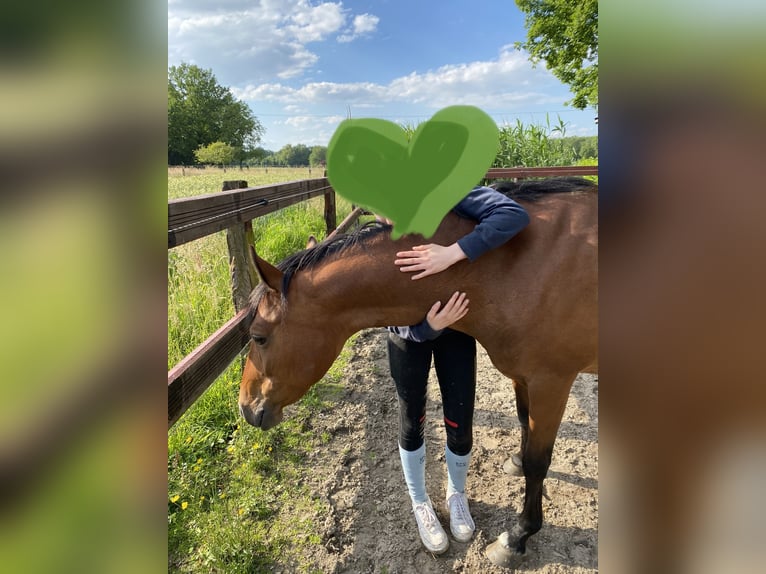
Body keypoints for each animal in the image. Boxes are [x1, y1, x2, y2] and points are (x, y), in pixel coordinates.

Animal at [240, 178, 600, 568]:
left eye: (258, 336)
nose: (246, 406)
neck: (508, 269)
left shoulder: (552, 382)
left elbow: (538, 461)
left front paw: (517, 537)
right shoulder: (524, 376)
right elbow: (523, 425)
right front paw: (516, 462)